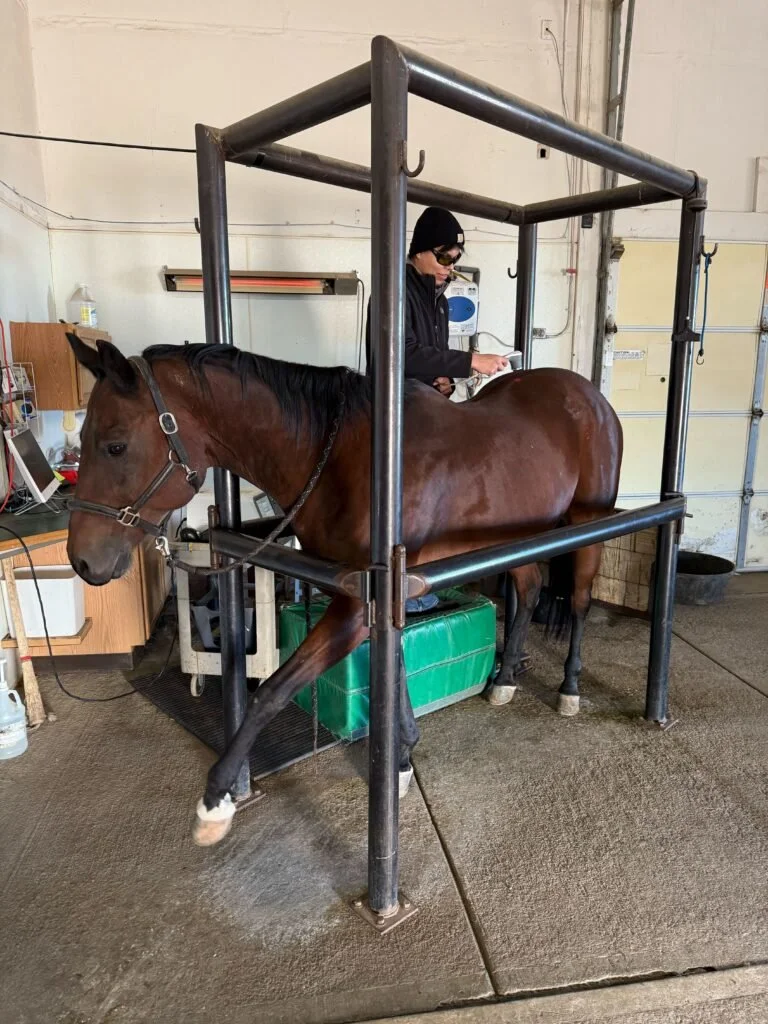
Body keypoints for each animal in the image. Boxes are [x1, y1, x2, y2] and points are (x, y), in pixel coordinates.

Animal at [65, 336, 622, 845]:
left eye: (115, 444)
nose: (82, 561)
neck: (339, 458)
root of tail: (586, 394)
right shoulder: (378, 600)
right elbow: (393, 676)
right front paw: (402, 760)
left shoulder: (355, 604)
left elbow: (271, 692)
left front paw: (215, 799)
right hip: (518, 538)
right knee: (529, 592)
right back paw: (504, 680)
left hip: (587, 527)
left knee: (578, 603)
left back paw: (569, 688)